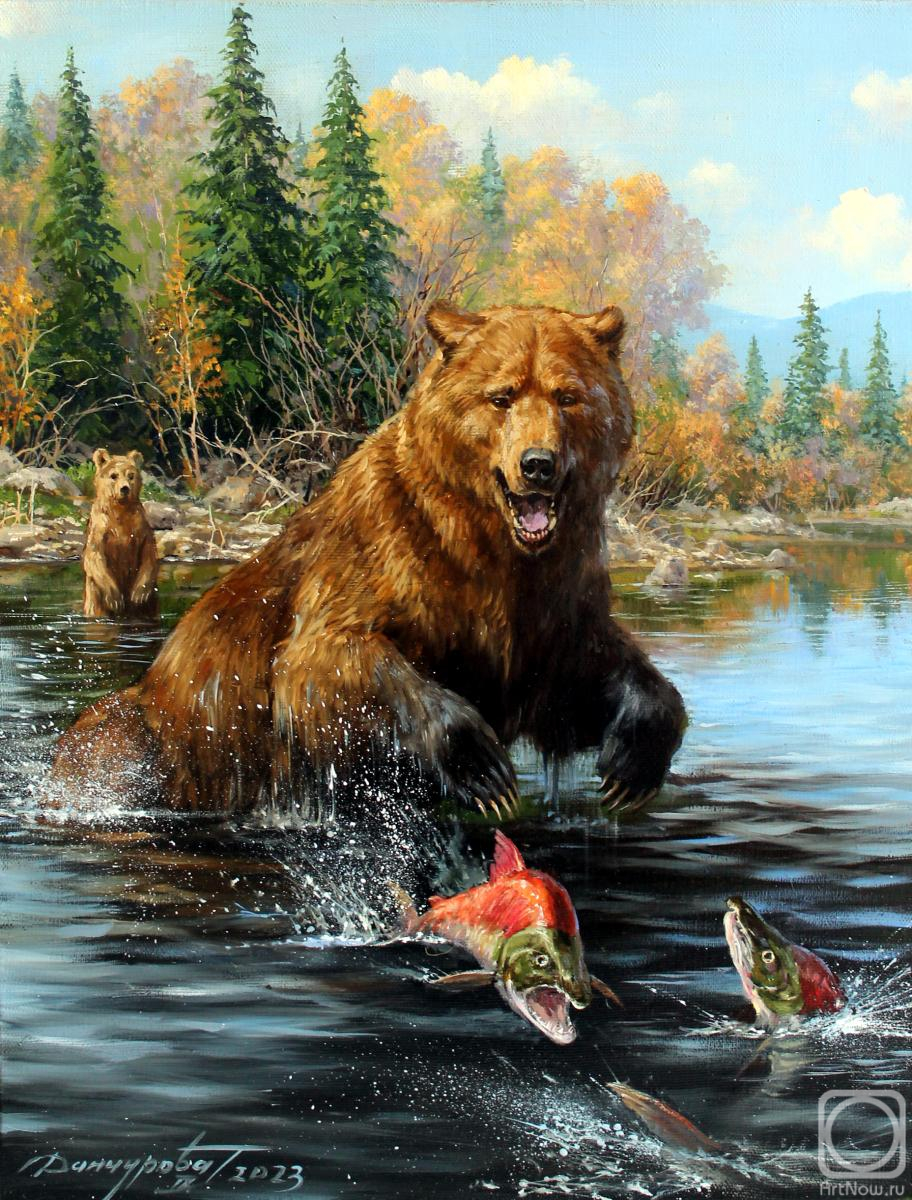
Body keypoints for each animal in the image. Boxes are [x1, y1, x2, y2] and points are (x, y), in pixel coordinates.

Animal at [82, 449, 159, 621]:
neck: (120, 511)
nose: (125, 489)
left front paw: (139, 594)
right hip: (95, 600)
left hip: (150, 607)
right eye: (113, 475)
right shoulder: (100, 530)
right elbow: (95, 557)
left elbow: (149, 554)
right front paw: (115, 599)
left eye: (131, 475)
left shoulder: (140, 528)